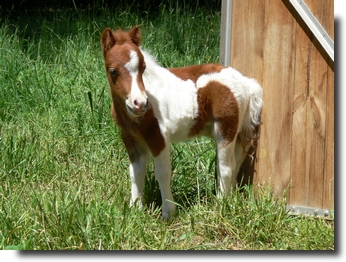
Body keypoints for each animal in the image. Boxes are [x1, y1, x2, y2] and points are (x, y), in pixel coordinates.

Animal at [100, 26, 262, 219]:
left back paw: (220, 205)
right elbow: (135, 173)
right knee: (236, 164)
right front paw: (134, 210)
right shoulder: (132, 140)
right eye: (113, 71)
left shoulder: (158, 137)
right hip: (237, 132)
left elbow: (162, 173)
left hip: (225, 129)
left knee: (226, 168)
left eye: (143, 67)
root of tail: (246, 83)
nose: (139, 103)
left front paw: (168, 213)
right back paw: (230, 199)